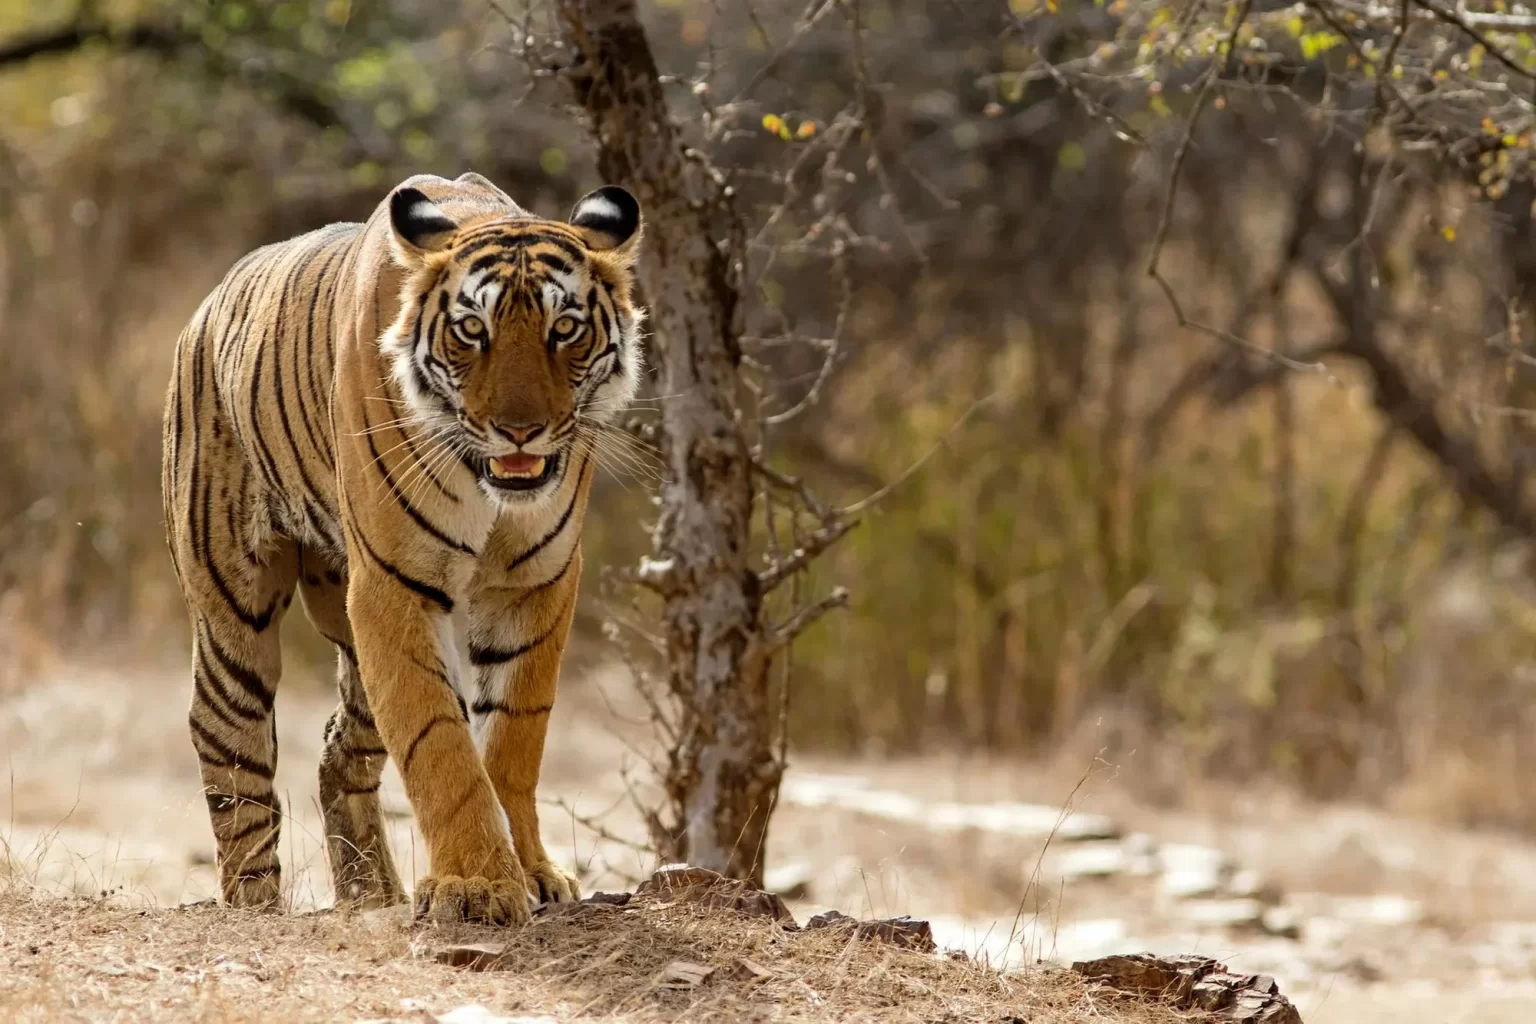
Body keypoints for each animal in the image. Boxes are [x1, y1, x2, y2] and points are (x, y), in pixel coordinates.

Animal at [160, 171, 645, 925]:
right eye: (472, 330)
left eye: (564, 328)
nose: (520, 431)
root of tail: (207, 306)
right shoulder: (394, 585)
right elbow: (438, 740)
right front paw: (477, 885)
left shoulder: (535, 582)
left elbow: (512, 738)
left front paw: (531, 873)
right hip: (233, 610)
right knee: (228, 743)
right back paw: (255, 904)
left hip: (350, 646)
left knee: (339, 753)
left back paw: (370, 893)